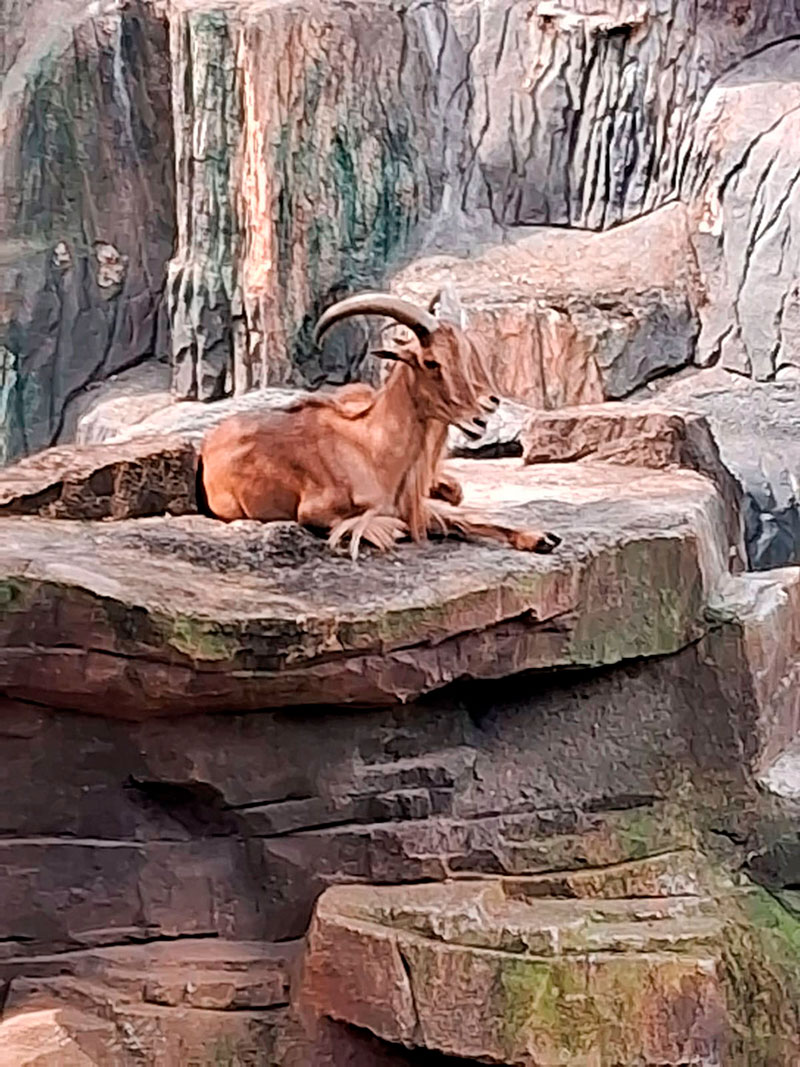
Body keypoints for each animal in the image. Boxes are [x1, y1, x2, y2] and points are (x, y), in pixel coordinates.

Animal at [197, 293, 561, 560]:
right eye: (431, 362)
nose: (479, 420)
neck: (373, 452)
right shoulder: (316, 511)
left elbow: (463, 519)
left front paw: (540, 537)